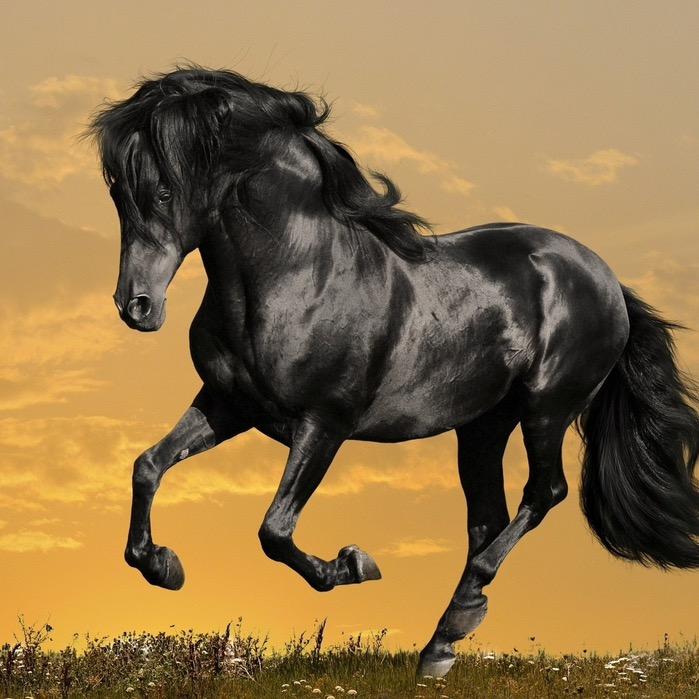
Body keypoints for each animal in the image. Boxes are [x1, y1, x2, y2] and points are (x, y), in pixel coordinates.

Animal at [88, 66, 699, 677]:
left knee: (542, 494)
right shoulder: (228, 405)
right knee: (488, 520)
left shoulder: (324, 425)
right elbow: (148, 466)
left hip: (546, 410)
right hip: (482, 427)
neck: (298, 276)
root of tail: (605, 279)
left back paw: (459, 616)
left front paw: (354, 564)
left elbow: (275, 530)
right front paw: (163, 566)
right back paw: (440, 646)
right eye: (117, 191)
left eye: (164, 190)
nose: (136, 306)